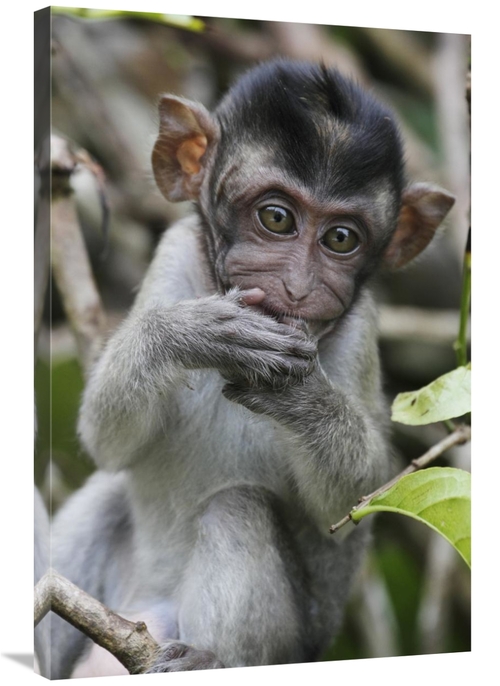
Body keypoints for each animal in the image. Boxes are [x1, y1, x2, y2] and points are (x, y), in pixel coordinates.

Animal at [49, 59, 454, 677]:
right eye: (277, 218)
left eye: (341, 238)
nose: (298, 287)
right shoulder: (174, 254)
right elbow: (107, 442)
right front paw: (193, 334)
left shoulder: (359, 327)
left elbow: (355, 499)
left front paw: (298, 395)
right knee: (106, 495)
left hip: (282, 649)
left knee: (236, 506)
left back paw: (209, 661)